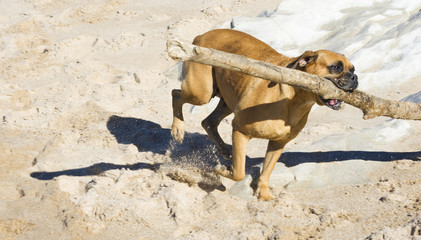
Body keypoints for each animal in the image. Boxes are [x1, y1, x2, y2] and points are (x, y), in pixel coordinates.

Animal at [171, 28, 358, 201]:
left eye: (353, 69)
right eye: (336, 68)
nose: (354, 77)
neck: (295, 99)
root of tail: (201, 35)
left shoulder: (277, 144)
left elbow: (267, 171)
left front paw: (264, 194)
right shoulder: (240, 130)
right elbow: (239, 172)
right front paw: (223, 170)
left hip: (226, 100)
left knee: (208, 121)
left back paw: (223, 148)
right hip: (201, 93)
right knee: (176, 94)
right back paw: (177, 129)